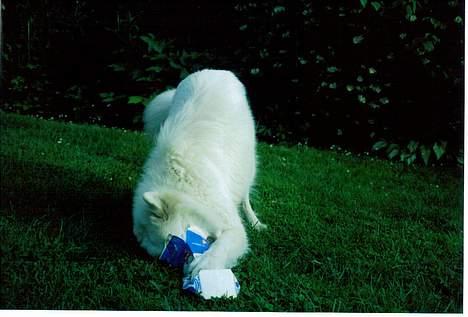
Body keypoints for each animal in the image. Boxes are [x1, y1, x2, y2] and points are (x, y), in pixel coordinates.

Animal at [132, 68, 266, 274]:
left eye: (172, 243)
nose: (181, 262)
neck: (181, 181)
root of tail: (213, 70)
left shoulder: (232, 227)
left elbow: (224, 245)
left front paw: (206, 264)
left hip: (247, 165)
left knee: (245, 197)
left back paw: (256, 222)